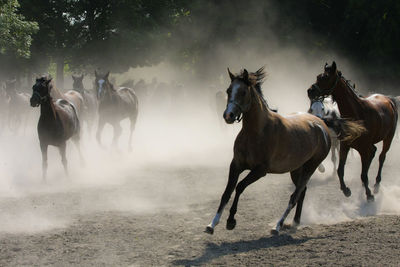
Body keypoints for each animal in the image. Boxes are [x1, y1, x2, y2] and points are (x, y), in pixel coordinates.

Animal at [206, 67, 366, 237]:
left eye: (243, 92)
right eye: (228, 90)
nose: (228, 116)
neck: (256, 131)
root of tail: (321, 123)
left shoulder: (260, 170)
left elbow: (240, 187)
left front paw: (231, 221)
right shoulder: (236, 165)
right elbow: (226, 192)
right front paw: (212, 224)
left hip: (310, 167)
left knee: (294, 196)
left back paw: (278, 225)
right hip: (296, 169)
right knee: (302, 191)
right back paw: (295, 222)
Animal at [306, 61, 396, 202]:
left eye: (325, 77)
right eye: (318, 76)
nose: (310, 91)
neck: (358, 113)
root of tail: (388, 100)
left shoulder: (364, 148)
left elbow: (363, 174)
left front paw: (369, 194)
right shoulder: (345, 145)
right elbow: (340, 170)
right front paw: (346, 190)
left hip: (389, 137)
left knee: (382, 157)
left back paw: (376, 185)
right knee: (374, 153)